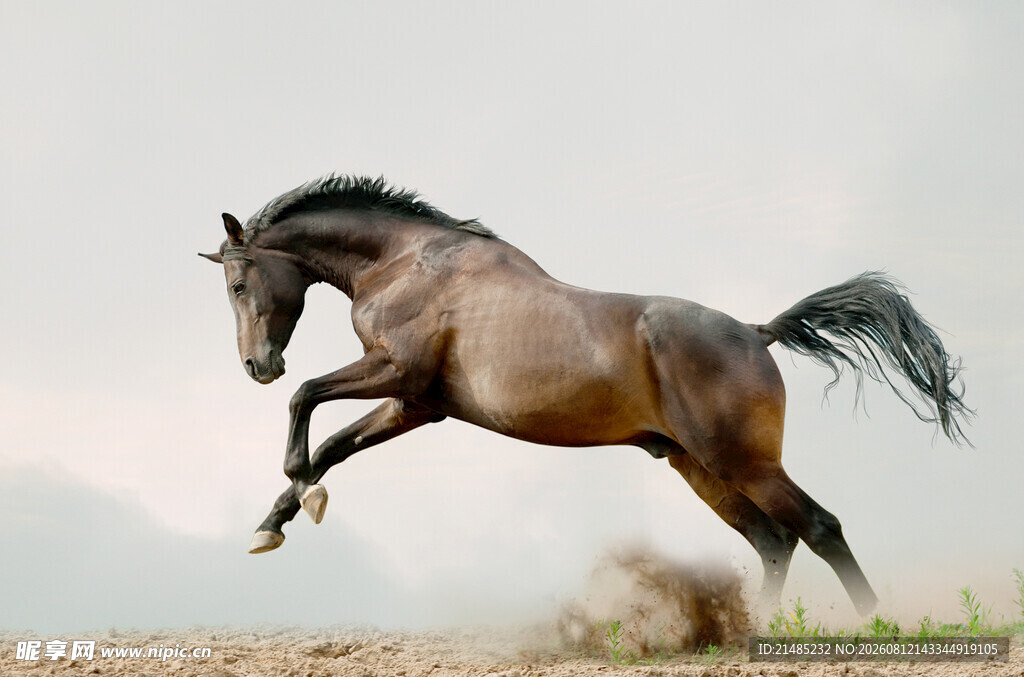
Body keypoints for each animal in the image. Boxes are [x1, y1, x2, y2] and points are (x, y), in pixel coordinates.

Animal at [200, 174, 970, 615]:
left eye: (238, 283)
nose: (257, 365)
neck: (406, 262)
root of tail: (757, 332)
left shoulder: (397, 375)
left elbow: (306, 403)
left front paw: (301, 495)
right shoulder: (418, 404)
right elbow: (331, 442)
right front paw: (275, 521)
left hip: (743, 462)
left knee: (820, 527)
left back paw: (872, 623)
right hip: (699, 466)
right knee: (774, 540)